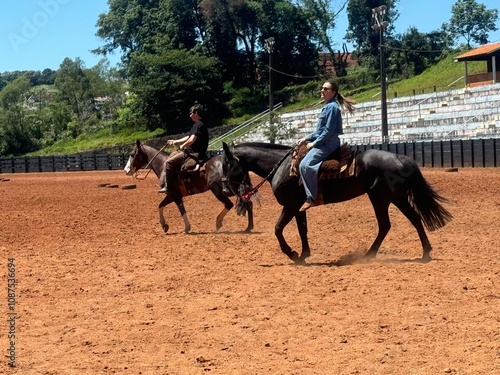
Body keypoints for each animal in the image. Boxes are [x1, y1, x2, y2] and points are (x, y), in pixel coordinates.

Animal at [125, 141, 254, 235]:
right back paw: (249, 227)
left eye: (132, 154)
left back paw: (219, 223)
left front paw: (186, 228)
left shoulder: (174, 194)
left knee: (231, 204)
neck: (163, 166)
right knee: (248, 202)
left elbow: (181, 210)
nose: (126, 170)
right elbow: (160, 206)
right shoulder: (172, 195)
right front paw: (164, 225)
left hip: (221, 190)